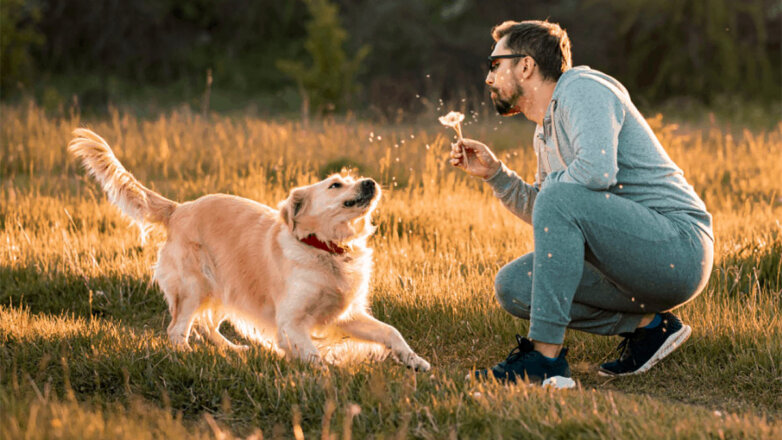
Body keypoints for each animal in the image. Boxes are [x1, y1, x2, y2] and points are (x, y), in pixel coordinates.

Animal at [66, 128, 432, 372]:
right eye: (335, 184)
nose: (370, 183)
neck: (326, 249)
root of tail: (179, 208)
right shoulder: (290, 321)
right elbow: (313, 355)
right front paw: (329, 376)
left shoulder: (346, 314)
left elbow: (390, 331)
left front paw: (415, 360)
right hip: (195, 286)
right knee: (177, 329)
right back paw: (186, 356)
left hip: (226, 288)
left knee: (207, 326)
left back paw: (234, 350)